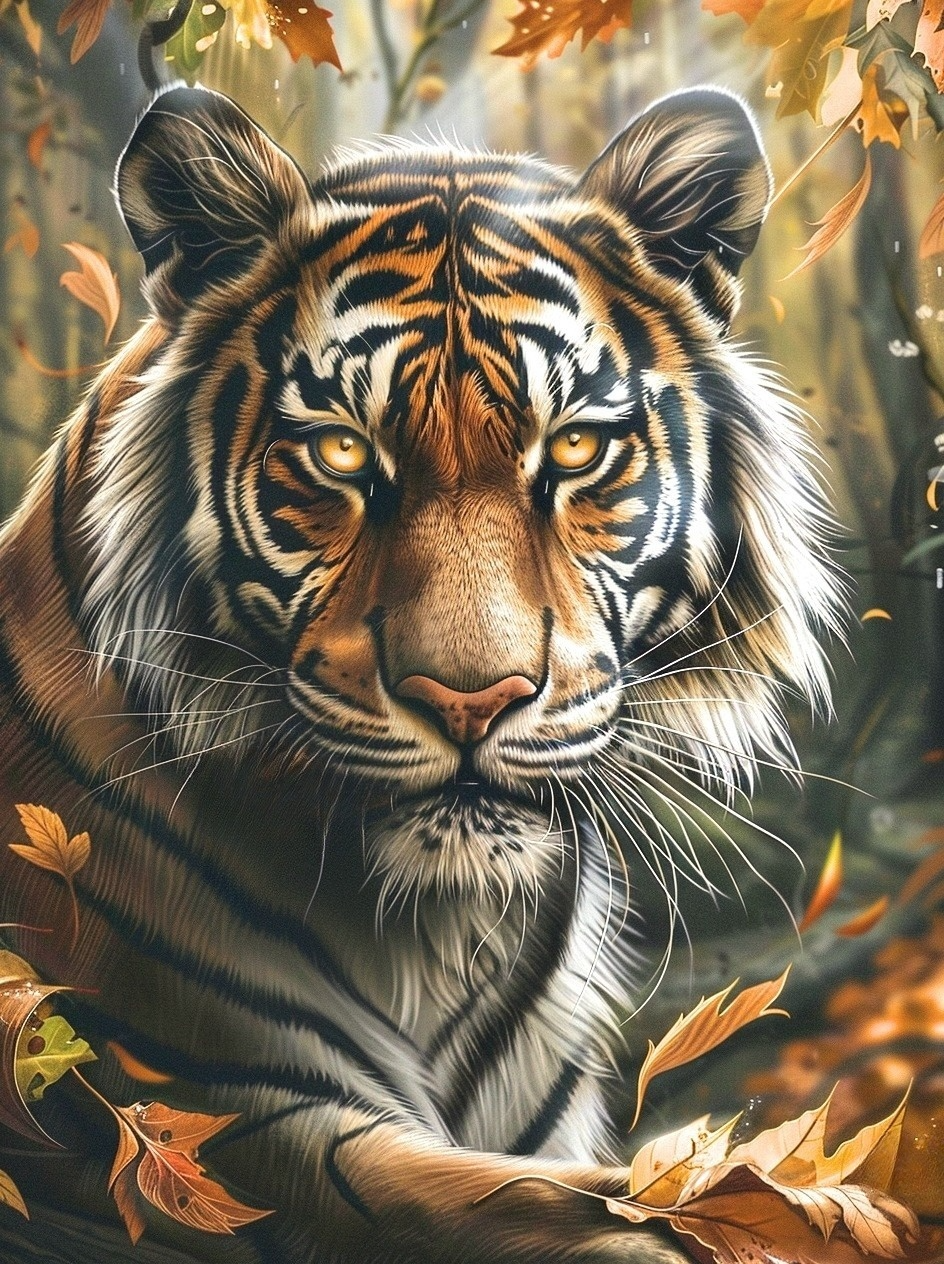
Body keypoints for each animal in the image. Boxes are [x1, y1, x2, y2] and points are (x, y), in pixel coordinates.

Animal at [0, 83, 842, 1264]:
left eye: (573, 449)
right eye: (343, 453)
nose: (471, 698)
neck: (441, 934)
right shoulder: (222, 1118)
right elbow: (537, 1208)